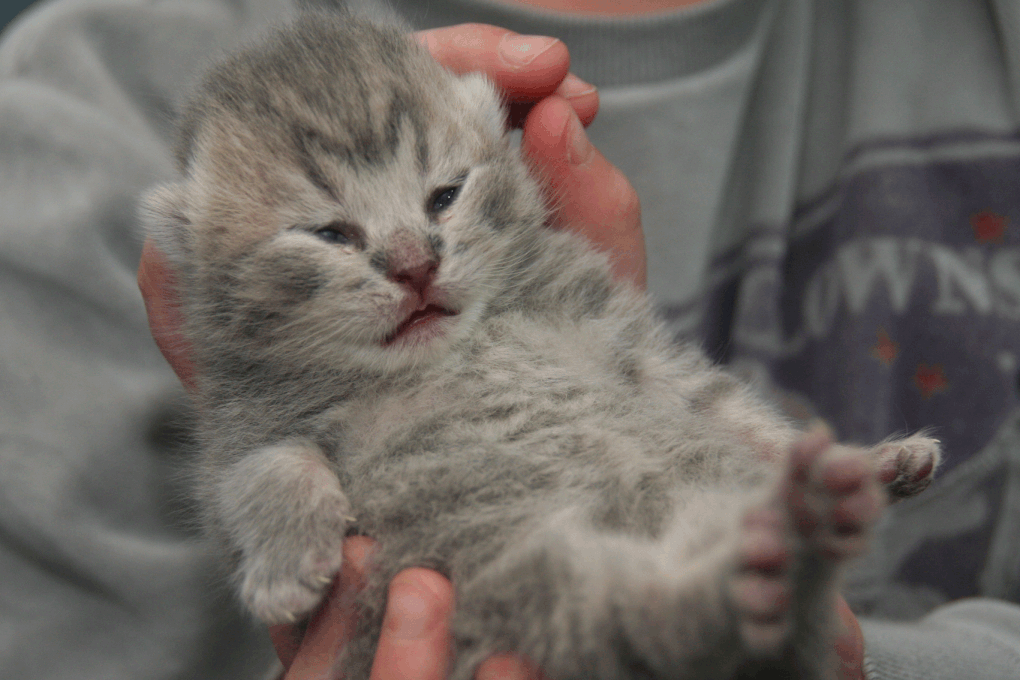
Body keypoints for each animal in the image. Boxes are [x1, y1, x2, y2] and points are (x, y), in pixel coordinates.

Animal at [141, 11, 938, 680]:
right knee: (649, 620)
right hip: (518, 573)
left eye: (444, 196)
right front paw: (286, 563)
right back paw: (768, 561)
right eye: (330, 233)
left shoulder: (618, 333)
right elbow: (262, 469)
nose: (414, 265)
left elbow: (728, 408)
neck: (455, 348)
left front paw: (865, 457)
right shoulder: (237, 427)